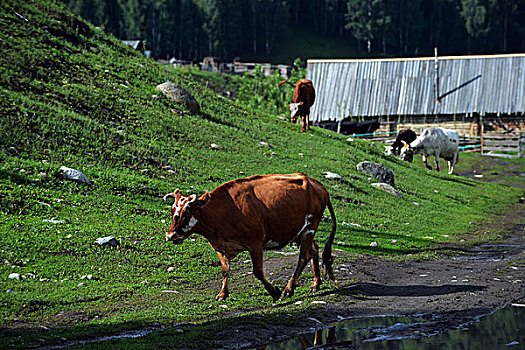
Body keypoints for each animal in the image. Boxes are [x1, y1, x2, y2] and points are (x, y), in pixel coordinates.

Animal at [162, 172, 338, 300]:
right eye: (172, 210)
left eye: (187, 212)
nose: (170, 235)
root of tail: (317, 184)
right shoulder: (221, 247)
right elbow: (225, 270)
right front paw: (223, 293)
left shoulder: (255, 243)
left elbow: (258, 271)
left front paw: (274, 292)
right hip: (301, 233)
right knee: (314, 250)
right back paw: (316, 284)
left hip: (310, 227)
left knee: (304, 257)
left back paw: (289, 288)